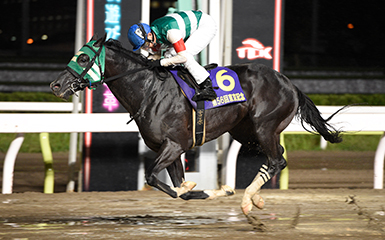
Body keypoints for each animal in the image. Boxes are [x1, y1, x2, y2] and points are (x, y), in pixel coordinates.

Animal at [50, 34, 342, 219]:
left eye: (83, 59)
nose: (55, 85)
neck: (149, 90)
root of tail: (289, 83)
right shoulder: (173, 148)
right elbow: (181, 191)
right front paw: (218, 190)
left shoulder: (174, 144)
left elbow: (153, 177)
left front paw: (212, 189)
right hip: (245, 132)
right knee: (276, 158)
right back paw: (255, 198)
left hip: (264, 127)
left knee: (276, 160)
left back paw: (248, 201)